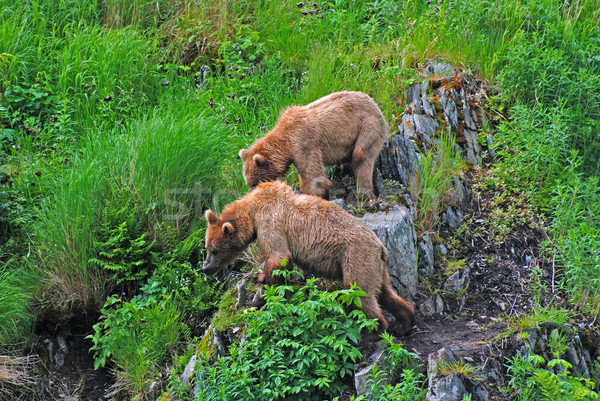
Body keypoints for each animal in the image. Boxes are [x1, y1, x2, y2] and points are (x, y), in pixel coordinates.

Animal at [200, 180, 412, 332]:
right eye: (207, 247)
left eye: (214, 250)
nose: (205, 268)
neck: (252, 210)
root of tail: (380, 246)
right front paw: (259, 279)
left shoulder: (269, 221)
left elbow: (279, 256)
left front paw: (258, 296)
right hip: (376, 265)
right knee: (384, 291)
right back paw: (405, 319)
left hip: (356, 255)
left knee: (358, 292)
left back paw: (371, 329)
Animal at [239, 91, 390, 199]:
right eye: (249, 183)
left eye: (255, 182)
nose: (252, 193)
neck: (285, 143)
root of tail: (375, 104)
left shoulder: (304, 143)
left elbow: (313, 176)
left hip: (368, 128)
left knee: (362, 158)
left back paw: (364, 194)